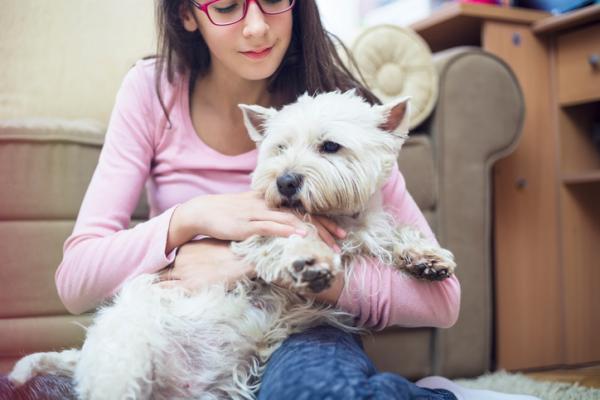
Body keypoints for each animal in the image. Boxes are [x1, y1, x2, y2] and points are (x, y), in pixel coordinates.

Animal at [8, 91, 454, 400]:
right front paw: (309, 259)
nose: (285, 181)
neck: (337, 217)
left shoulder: (370, 229)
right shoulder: (256, 233)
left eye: (330, 146)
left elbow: (396, 234)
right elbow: (288, 239)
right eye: (279, 147)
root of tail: (85, 357)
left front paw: (427, 258)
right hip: (127, 358)